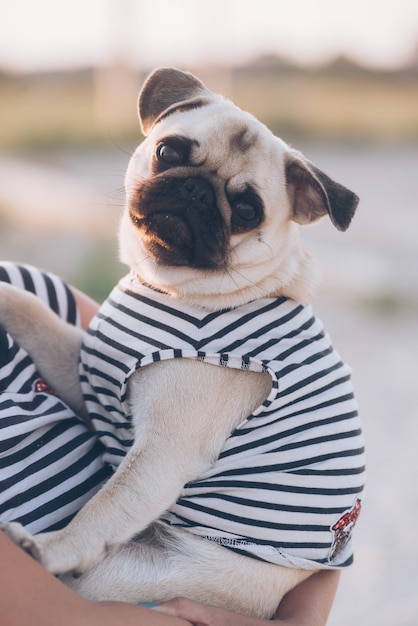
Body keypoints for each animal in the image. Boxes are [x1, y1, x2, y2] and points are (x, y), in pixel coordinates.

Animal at [0, 67, 364, 616]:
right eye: (169, 152)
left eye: (247, 209)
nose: (196, 190)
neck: (173, 288)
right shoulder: (90, 375)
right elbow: (31, 310)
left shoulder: (161, 452)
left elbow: (104, 507)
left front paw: (50, 548)